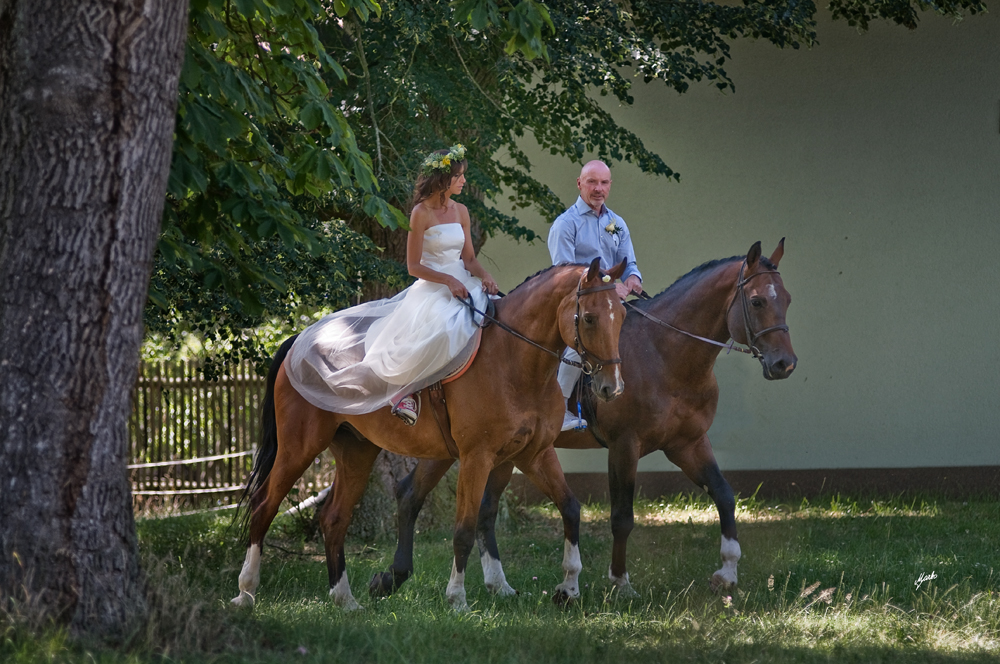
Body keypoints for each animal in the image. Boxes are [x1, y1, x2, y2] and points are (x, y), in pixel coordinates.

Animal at [231, 256, 628, 608]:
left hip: (357, 452)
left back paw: (346, 600)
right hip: (298, 448)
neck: (514, 360)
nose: (612, 387)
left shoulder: (532, 454)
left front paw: (569, 588)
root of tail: (299, 339)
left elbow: (570, 508)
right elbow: (464, 528)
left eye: (622, 316)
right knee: (264, 507)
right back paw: (246, 592)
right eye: (589, 318)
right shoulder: (477, 458)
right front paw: (457, 599)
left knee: (334, 518)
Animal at [368, 241, 796, 600]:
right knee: (431, 498)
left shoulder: (687, 443)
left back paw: (479, 583)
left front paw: (727, 573)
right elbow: (622, 517)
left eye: (788, 299)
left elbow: (724, 494)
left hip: (489, 453)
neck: (664, 354)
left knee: (467, 506)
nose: (784, 364)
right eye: (757, 301)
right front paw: (620, 582)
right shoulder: (625, 445)